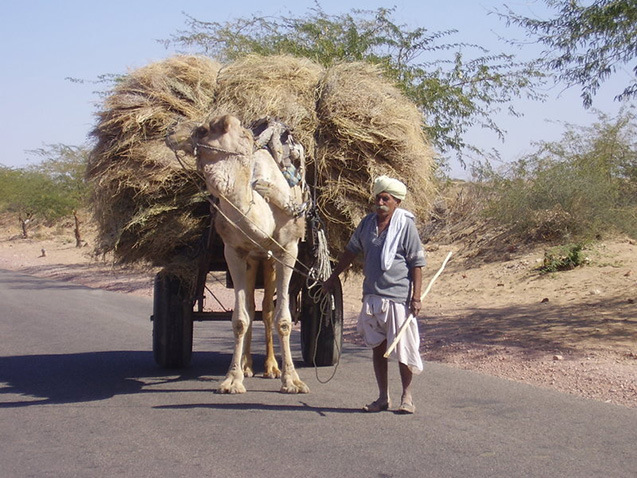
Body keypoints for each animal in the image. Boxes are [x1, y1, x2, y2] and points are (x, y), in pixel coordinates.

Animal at [169, 114, 308, 394]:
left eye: (203, 130)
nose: (171, 129)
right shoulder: (233, 251)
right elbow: (240, 319)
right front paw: (232, 380)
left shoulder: (288, 249)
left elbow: (283, 319)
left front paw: (292, 381)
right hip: (254, 259)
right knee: (253, 308)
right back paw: (247, 366)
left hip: (270, 261)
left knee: (267, 310)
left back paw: (272, 368)